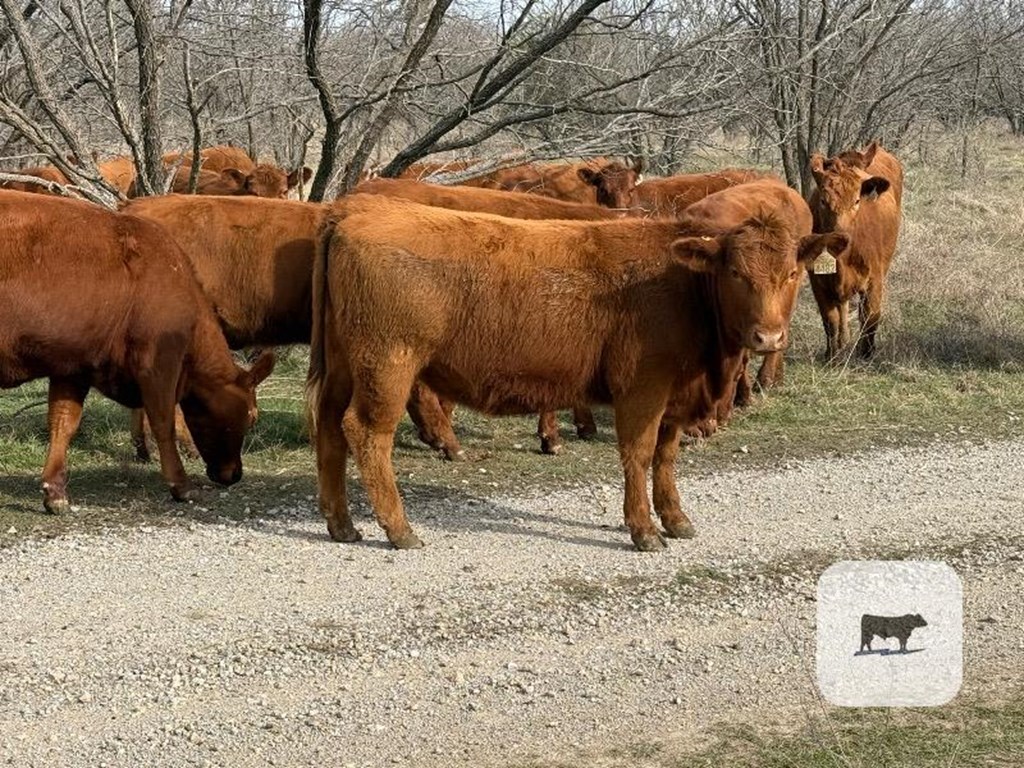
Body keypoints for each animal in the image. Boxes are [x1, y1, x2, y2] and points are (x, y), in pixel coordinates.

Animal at [0, 191, 276, 512]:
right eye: (252, 417)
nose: (234, 475)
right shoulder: (158, 365)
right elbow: (164, 421)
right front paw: (181, 485)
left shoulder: (71, 368)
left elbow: (63, 423)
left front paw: (54, 492)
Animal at [307, 192, 843, 552]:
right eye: (735, 273)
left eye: (791, 274)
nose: (768, 337)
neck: (683, 285)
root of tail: (355, 210)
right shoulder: (643, 390)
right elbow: (639, 455)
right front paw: (644, 530)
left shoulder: (675, 397)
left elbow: (666, 458)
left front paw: (675, 519)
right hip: (388, 366)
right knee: (366, 433)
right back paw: (399, 529)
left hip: (343, 367)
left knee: (330, 429)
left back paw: (342, 525)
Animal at [806, 143, 905, 360]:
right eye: (823, 201)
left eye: (857, 201)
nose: (841, 237)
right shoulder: (817, 280)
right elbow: (830, 319)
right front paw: (832, 355)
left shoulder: (874, 279)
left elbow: (870, 316)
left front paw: (866, 354)